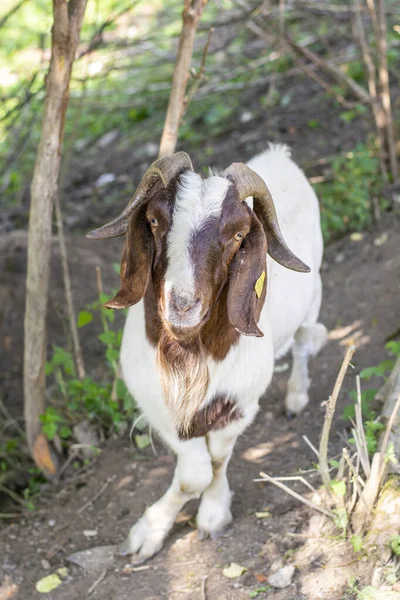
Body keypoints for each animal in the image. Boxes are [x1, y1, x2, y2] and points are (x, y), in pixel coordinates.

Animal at [86, 144, 326, 564]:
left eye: (239, 233)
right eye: (153, 220)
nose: (182, 306)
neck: (190, 354)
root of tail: (278, 154)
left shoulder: (238, 405)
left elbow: (216, 461)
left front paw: (213, 515)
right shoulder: (159, 405)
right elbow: (194, 473)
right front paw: (146, 535)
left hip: (313, 297)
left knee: (300, 344)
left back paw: (296, 397)